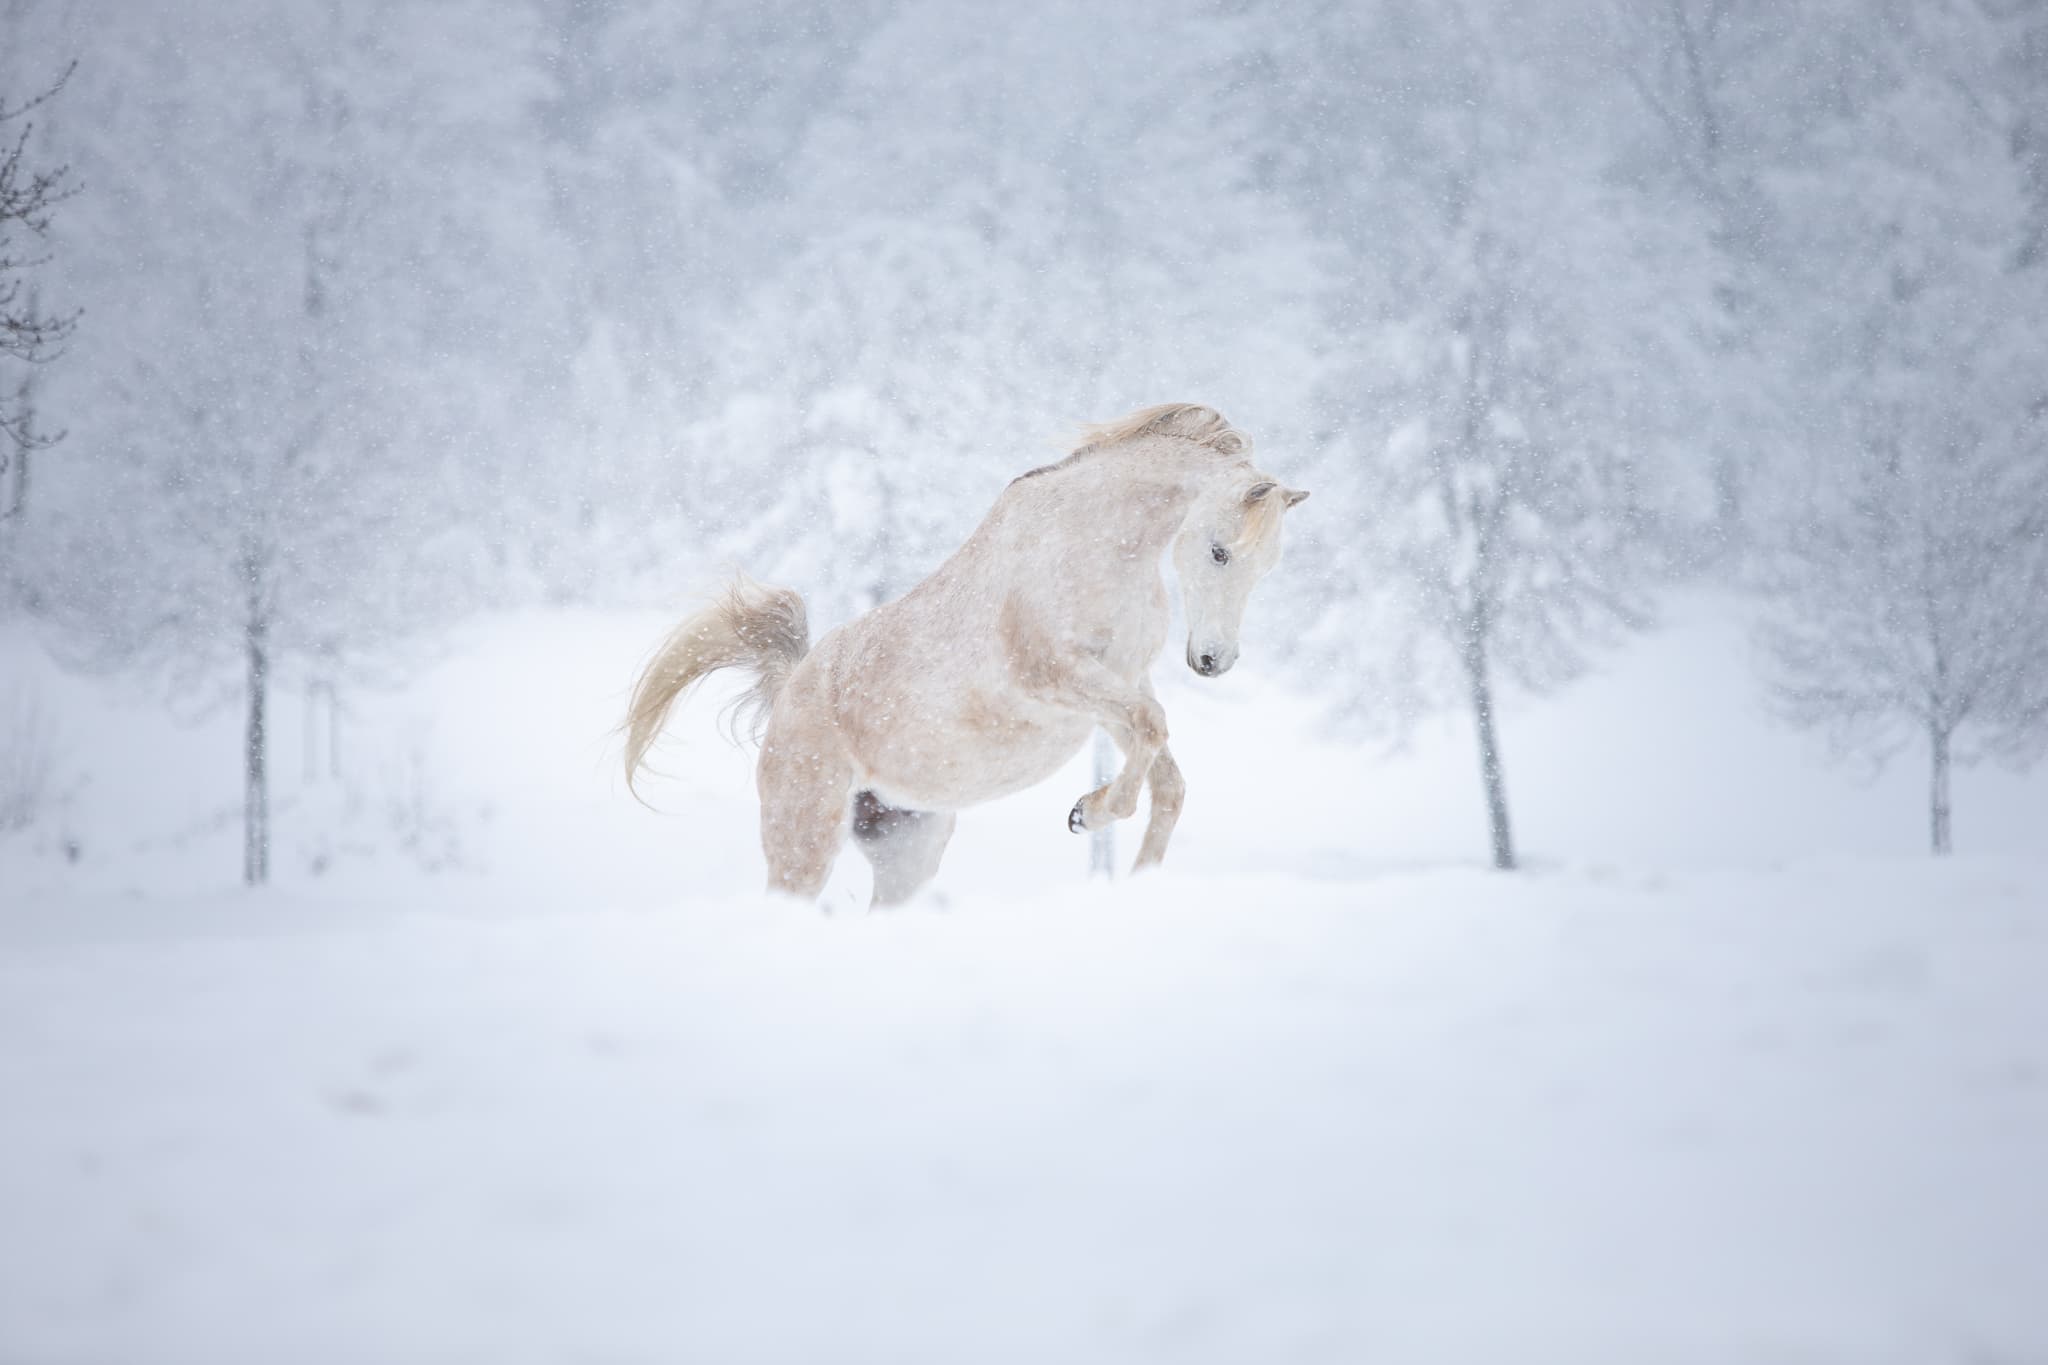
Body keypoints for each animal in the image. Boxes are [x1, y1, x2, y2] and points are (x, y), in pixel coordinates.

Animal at [623, 402, 1309, 905]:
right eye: (1219, 551)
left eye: (1268, 566)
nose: (1214, 661)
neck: (1092, 548)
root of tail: (793, 687)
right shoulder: (1057, 678)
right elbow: (1151, 737)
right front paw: (1085, 813)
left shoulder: (1119, 685)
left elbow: (1166, 773)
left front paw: (1132, 869)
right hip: (804, 837)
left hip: (909, 846)